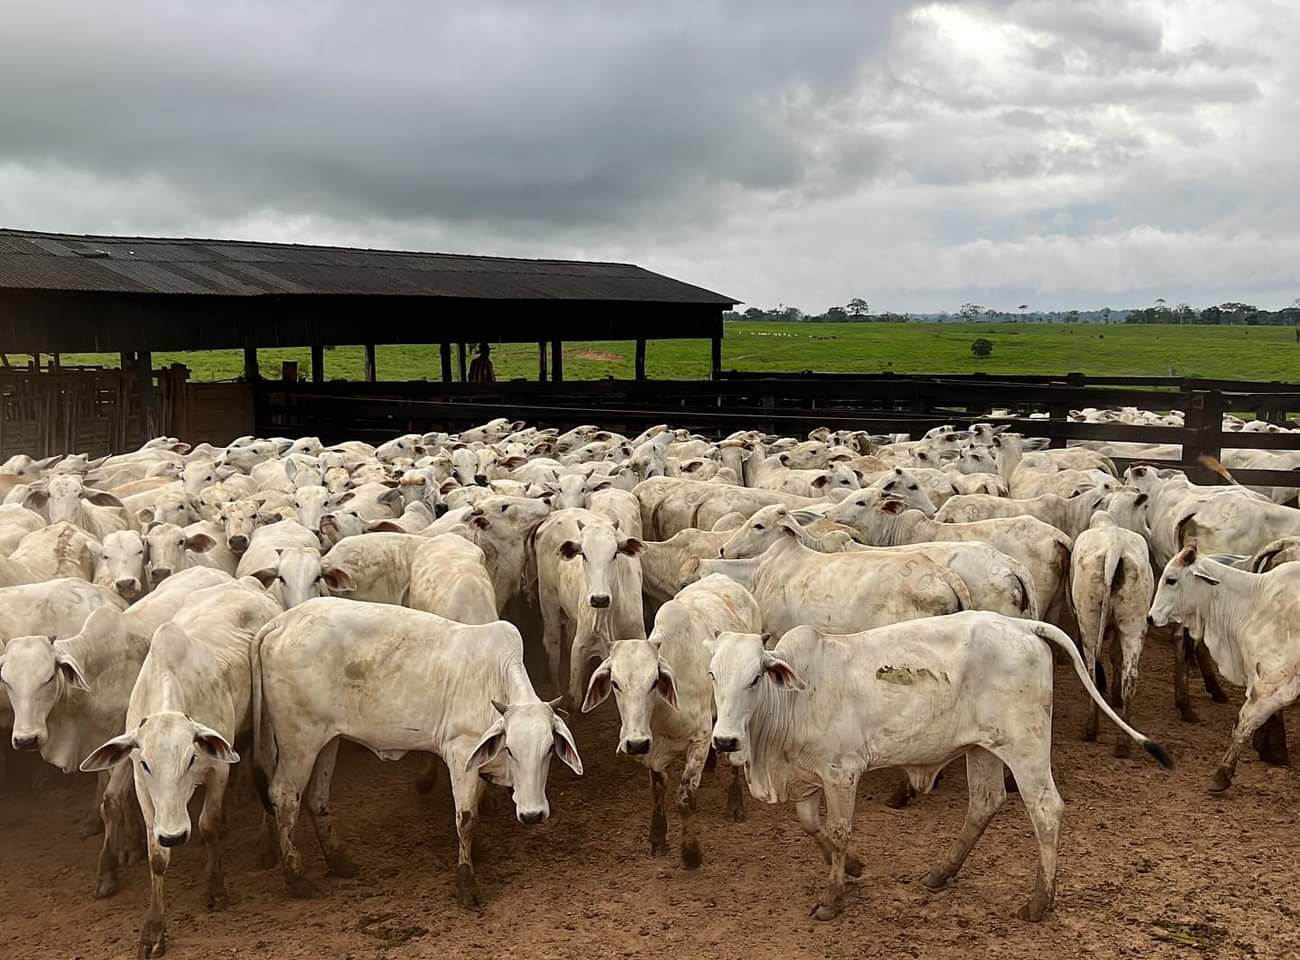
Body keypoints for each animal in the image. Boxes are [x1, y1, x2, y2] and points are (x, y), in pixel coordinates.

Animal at [249, 598, 585, 905]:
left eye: (549, 749)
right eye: (510, 749)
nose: (533, 815)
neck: (494, 680)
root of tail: (280, 622)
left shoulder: (475, 759)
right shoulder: (459, 753)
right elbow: (466, 818)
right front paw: (466, 883)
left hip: (327, 739)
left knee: (317, 798)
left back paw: (339, 862)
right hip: (299, 740)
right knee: (284, 796)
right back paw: (297, 877)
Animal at [707, 613, 1175, 920]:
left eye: (754, 677)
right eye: (712, 675)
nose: (725, 740)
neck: (795, 699)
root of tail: (1022, 625)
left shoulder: (842, 773)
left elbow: (838, 832)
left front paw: (832, 897)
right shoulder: (808, 778)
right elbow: (810, 825)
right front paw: (854, 867)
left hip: (1026, 747)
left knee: (1046, 809)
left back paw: (1040, 901)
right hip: (983, 748)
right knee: (985, 802)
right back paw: (941, 872)